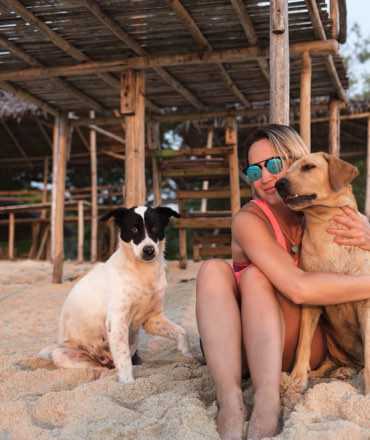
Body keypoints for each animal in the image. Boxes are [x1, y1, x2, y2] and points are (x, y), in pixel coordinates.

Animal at [39, 206, 192, 382]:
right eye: (133, 229)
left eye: (155, 228)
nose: (149, 250)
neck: (141, 273)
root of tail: (104, 359)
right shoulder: (117, 321)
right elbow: (124, 360)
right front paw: (128, 383)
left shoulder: (153, 319)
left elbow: (182, 332)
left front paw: (188, 354)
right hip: (61, 354)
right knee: (97, 368)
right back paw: (100, 373)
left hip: (132, 341)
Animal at [276, 153, 368, 394]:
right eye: (288, 169)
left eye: (309, 167)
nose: (279, 184)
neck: (325, 223)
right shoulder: (310, 301)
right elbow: (303, 343)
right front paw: (298, 377)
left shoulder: (366, 302)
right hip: (331, 341)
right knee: (333, 363)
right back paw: (335, 372)